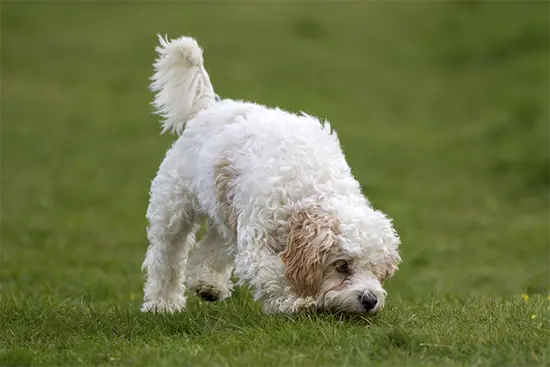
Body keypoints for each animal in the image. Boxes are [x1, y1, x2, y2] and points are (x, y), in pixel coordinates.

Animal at [140, 35, 404, 316]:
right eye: (343, 265)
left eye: (377, 269)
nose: (370, 299)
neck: (308, 193)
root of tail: (209, 108)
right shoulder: (257, 241)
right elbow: (272, 275)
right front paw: (296, 302)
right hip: (173, 208)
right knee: (166, 256)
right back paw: (162, 303)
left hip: (225, 210)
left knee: (213, 245)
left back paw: (208, 284)